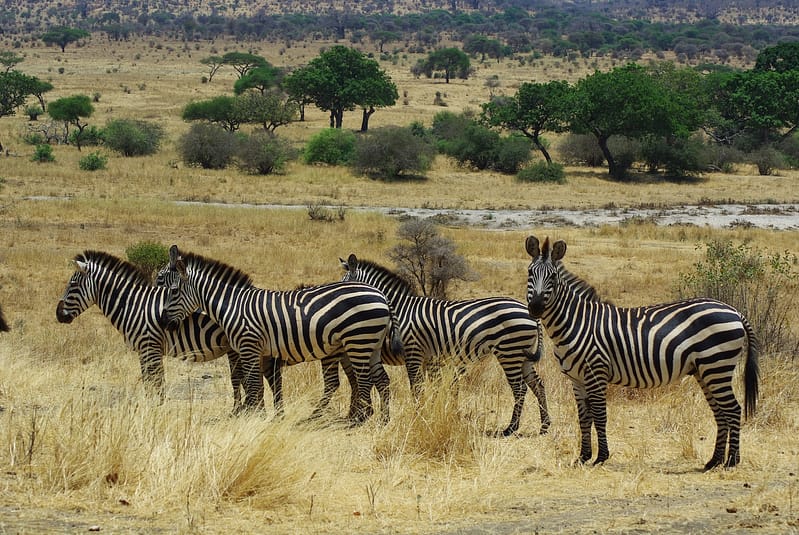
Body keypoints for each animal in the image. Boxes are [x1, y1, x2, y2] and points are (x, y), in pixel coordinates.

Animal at [55, 250, 252, 410]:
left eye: (72, 285)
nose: (58, 314)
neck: (134, 305)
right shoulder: (143, 351)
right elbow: (148, 381)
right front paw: (153, 406)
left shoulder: (150, 347)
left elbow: (156, 381)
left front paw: (157, 408)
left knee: (238, 377)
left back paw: (238, 410)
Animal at [157, 245, 395, 422]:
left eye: (173, 291)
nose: (162, 321)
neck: (232, 305)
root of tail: (381, 295)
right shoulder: (259, 352)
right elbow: (259, 384)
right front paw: (261, 414)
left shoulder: (248, 346)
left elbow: (252, 384)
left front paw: (253, 416)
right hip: (369, 344)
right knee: (380, 379)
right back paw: (381, 420)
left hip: (359, 340)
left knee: (363, 380)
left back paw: (359, 420)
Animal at [340, 254, 551, 436]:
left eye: (342, 285)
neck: (400, 310)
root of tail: (530, 313)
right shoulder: (427, 358)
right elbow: (429, 388)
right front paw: (428, 413)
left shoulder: (413, 353)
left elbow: (416, 388)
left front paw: (418, 416)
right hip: (523, 355)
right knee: (537, 384)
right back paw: (544, 425)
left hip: (509, 352)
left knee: (520, 388)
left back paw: (511, 428)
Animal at [524, 235, 759, 470]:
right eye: (529, 272)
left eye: (553, 277)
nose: (535, 308)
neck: (577, 322)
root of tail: (734, 310)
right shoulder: (577, 379)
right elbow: (584, 418)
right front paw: (583, 457)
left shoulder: (596, 372)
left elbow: (599, 416)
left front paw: (601, 457)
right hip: (705, 371)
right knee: (720, 412)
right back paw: (714, 461)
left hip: (717, 366)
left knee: (733, 409)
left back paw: (731, 461)